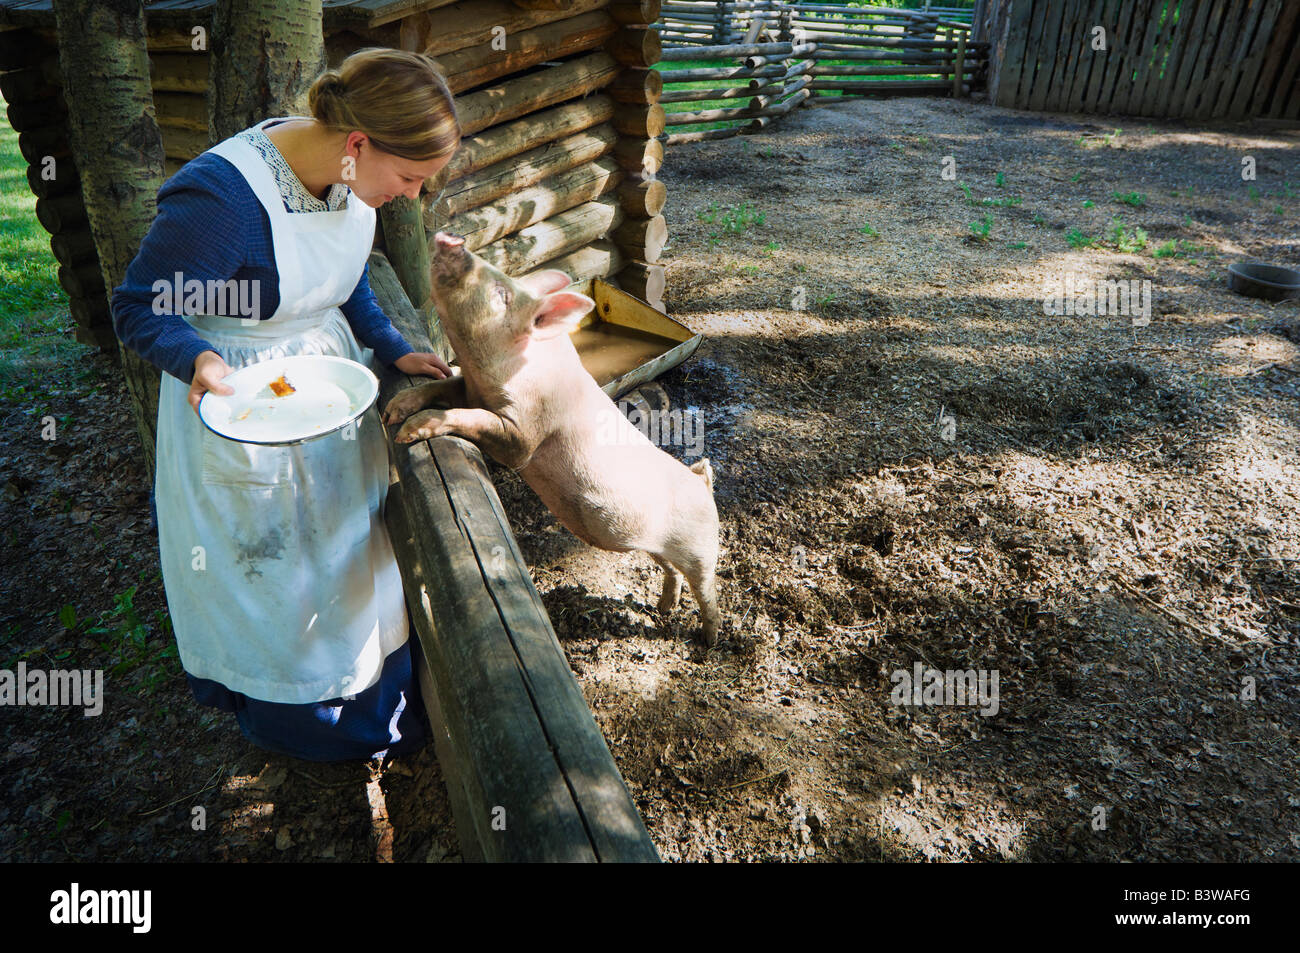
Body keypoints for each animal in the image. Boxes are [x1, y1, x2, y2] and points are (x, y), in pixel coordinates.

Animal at [379, 231, 728, 647]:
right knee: (670, 570)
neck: (493, 376)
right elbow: (441, 385)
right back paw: (663, 609)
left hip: (701, 548)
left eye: (501, 293)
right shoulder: (469, 388)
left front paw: (407, 433)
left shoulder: (522, 434)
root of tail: (701, 482)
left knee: (707, 589)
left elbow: (480, 423)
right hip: (652, 544)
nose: (452, 239)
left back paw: (708, 641)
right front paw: (393, 411)